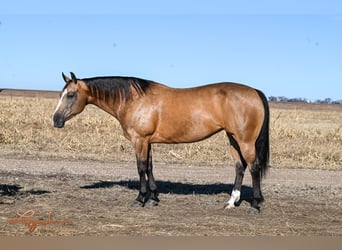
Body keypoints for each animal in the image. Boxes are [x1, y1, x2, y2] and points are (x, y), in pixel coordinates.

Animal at [52, 71, 270, 212]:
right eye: (61, 94)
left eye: (70, 95)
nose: (56, 120)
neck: (133, 99)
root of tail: (254, 91)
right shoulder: (147, 141)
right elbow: (149, 167)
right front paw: (153, 198)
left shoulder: (139, 140)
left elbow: (140, 168)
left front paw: (140, 199)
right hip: (232, 138)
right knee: (240, 167)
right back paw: (231, 202)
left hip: (245, 141)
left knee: (254, 167)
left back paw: (255, 204)